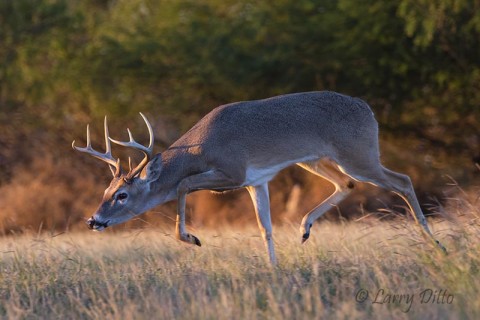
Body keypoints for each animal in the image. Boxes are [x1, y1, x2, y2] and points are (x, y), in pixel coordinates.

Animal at [73, 90, 444, 264]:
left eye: (121, 196)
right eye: (105, 191)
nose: (93, 220)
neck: (204, 146)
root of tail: (367, 109)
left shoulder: (234, 171)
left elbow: (183, 184)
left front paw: (192, 239)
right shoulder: (256, 181)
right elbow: (265, 225)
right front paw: (274, 267)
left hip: (358, 154)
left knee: (402, 181)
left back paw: (436, 244)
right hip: (316, 159)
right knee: (347, 184)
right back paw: (304, 228)